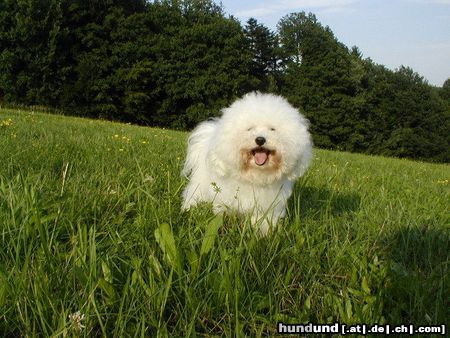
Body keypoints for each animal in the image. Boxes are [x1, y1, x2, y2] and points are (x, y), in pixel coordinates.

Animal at [181, 92, 312, 235]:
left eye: (272, 129)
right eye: (249, 129)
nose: (260, 139)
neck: (255, 176)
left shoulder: (268, 207)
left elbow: (262, 223)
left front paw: (263, 235)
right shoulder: (225, 201)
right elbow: (222, 216)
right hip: (200, 184)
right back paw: (189, 209)